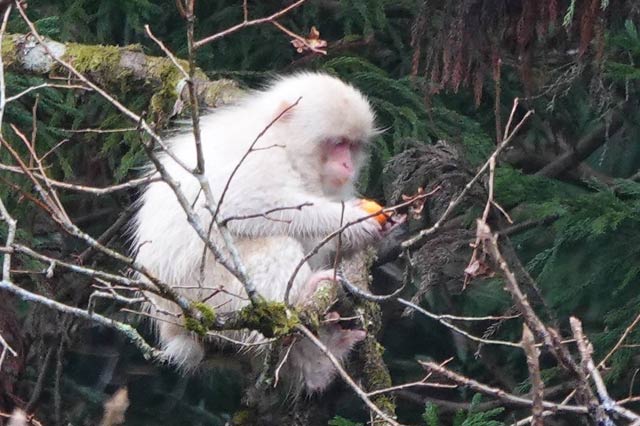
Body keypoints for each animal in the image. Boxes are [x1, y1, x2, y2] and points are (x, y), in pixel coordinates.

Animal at [131, 72, 388, 392]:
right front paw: (351, 220)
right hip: (208, 294)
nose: (347, 165)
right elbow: (242, 205)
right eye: (338, 143)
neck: (288, 147)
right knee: (273, 244)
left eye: (352, 146)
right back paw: (299, 302)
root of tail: (174, 327)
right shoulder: (261, 156)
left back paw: (315, 365)